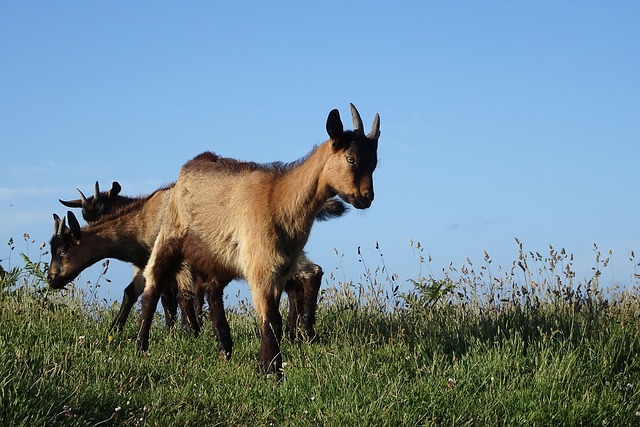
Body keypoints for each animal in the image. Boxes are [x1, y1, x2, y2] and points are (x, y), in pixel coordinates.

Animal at [139, 103, 380, 374]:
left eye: (374, 163)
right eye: (351, 159)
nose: (366, 197)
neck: (278, 199)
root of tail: (191, 166)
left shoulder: (281, 269)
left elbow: (276, 316)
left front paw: (270, 365)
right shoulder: (261, 268)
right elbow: (271, 319)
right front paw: (270, 370)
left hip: (220, 255)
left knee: (212, 289)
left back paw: (225, 347)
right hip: (170, 235)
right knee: (154, 282)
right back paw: (141, 345)